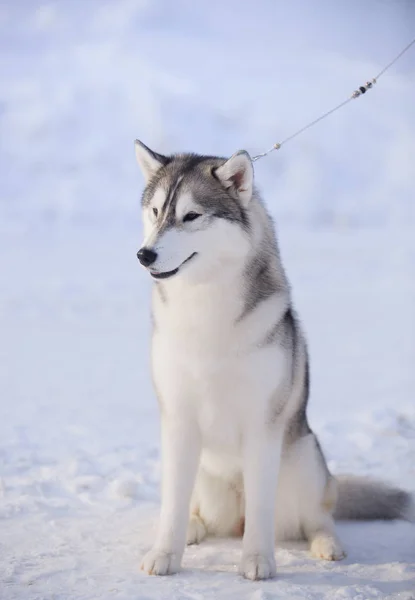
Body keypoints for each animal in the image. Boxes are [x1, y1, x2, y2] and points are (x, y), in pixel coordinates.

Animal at [135, 142, 414, 580]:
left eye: (191, 215)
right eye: (155, 211)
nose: (145, 255)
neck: (205, 309)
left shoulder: (262, 424)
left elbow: (262, 507)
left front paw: (257, 561)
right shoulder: (178, 419)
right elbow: (173, 504)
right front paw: (165, 553)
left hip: (304, 459)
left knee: (319, 516)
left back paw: (327, 543)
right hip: (207, 475)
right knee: (196, 508)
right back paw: (195, 528)